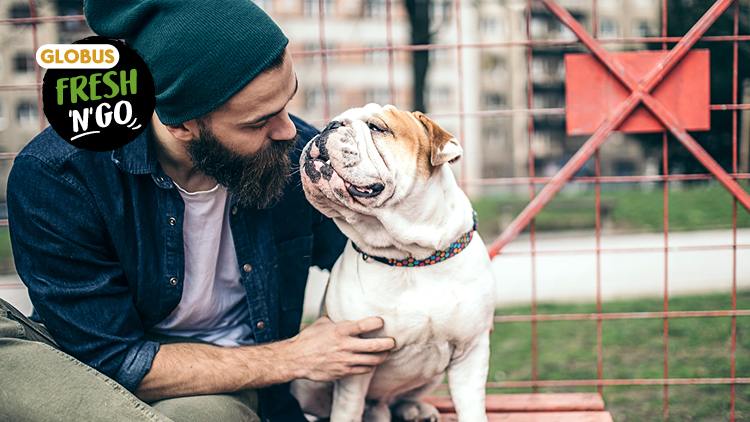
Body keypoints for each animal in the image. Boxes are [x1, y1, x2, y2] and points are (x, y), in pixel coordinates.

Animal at [296, 103, 500, 422]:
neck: (410, 257)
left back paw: (415, 409)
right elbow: (347, 408)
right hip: (307, 381)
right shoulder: (355, 358)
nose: (329, 125)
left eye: (377, 127)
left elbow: (471, 406)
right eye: (334, 121)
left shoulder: (471, 350)